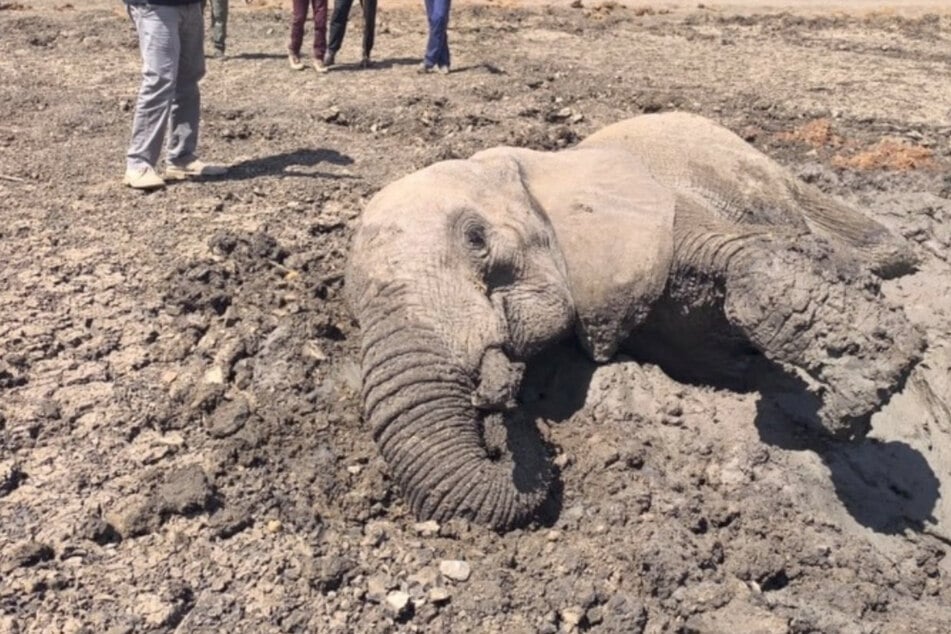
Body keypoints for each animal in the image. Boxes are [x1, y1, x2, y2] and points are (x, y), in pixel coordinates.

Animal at [344, 111, 924, 532]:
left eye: (476, 240)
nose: (498, 420)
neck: (538, 170)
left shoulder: (661, 217)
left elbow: (752, 267)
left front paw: (853, 405)